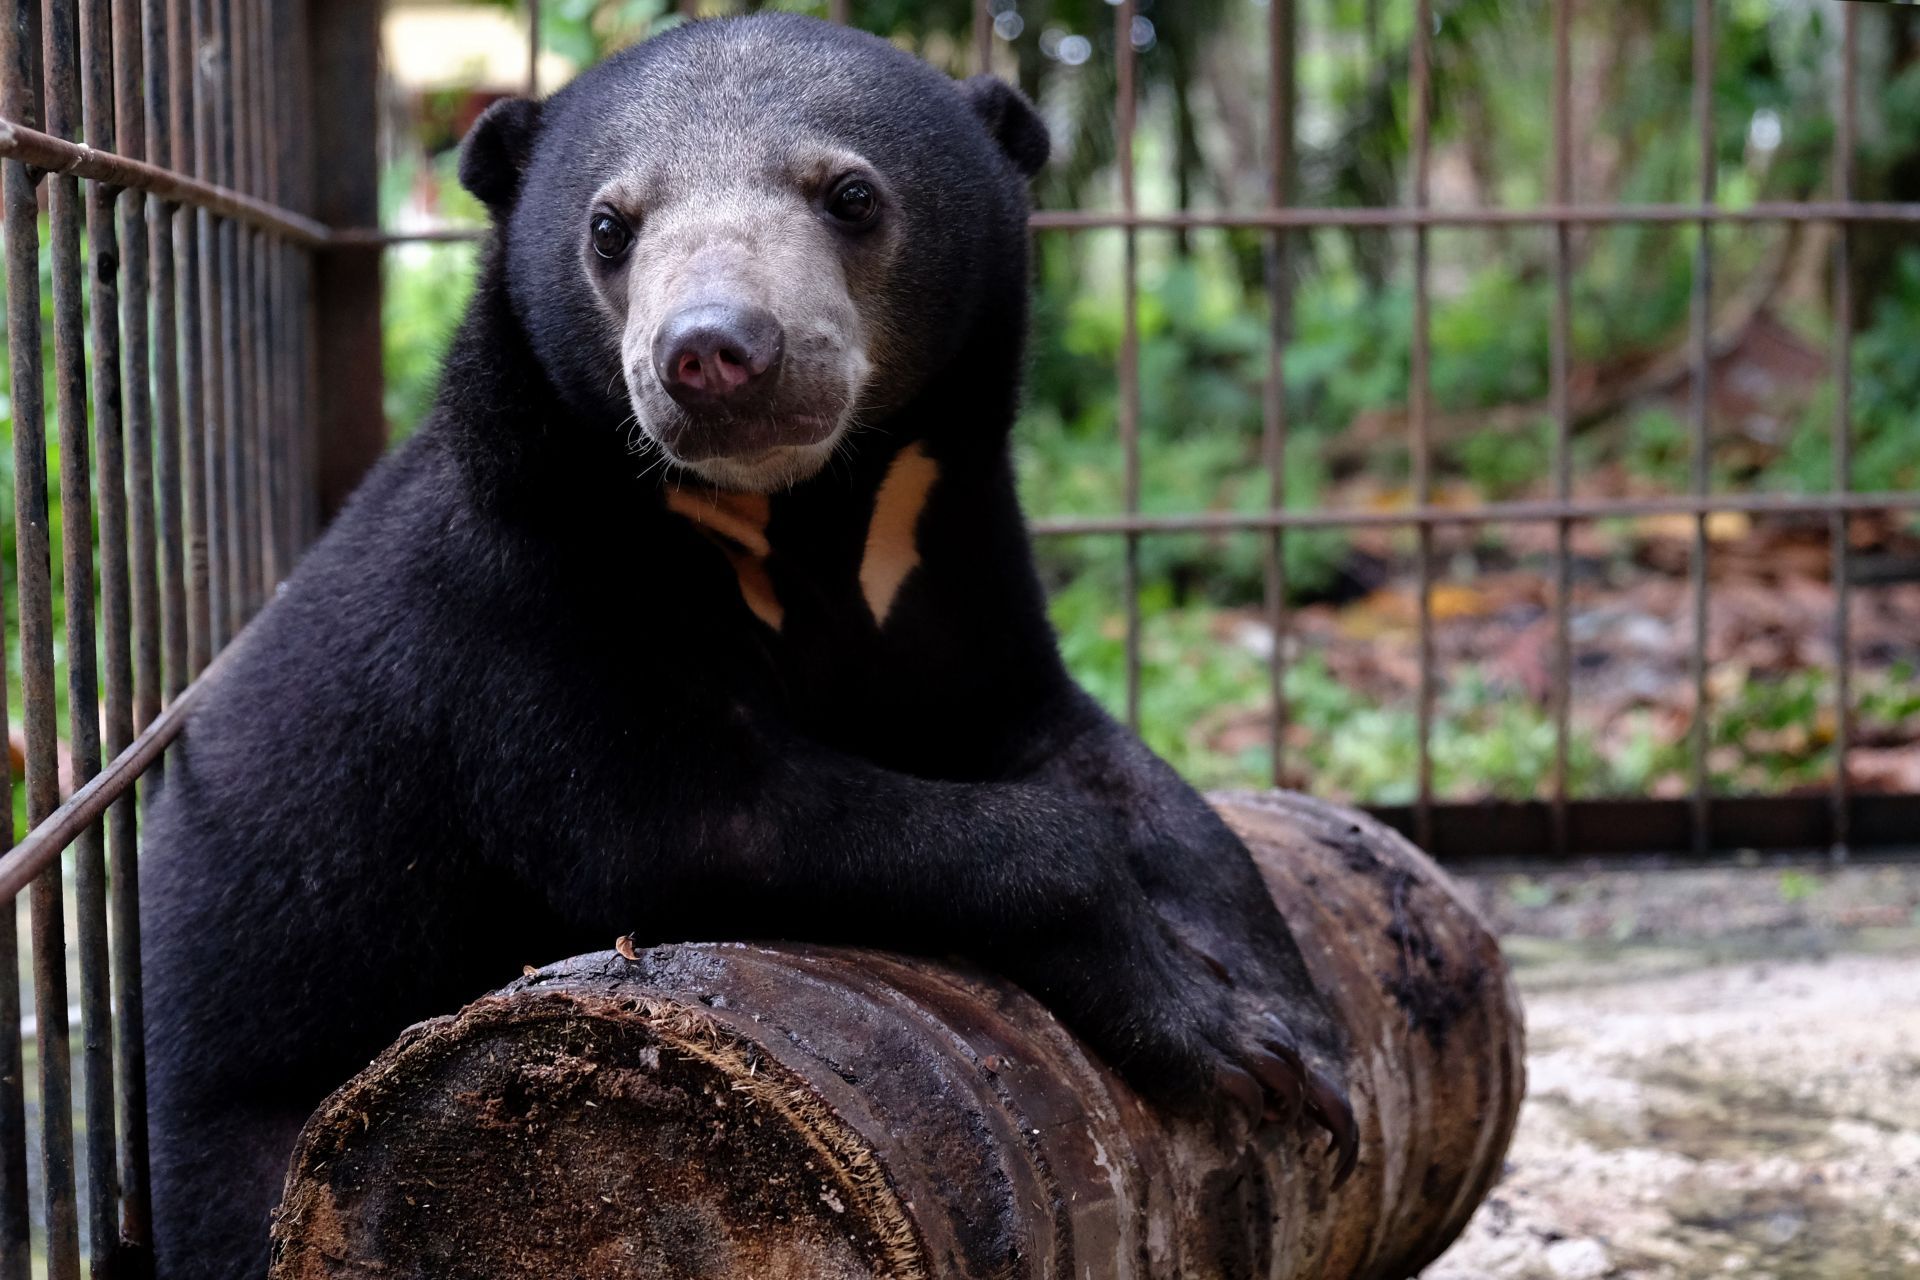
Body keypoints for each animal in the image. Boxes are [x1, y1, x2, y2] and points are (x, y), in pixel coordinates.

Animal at [142, 14, 1359, 1274]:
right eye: (610, 226)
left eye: (852, 196)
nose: (714, 352)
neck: (801, 517)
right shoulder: (516, 602)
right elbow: (668, 823)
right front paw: (1208, 1026)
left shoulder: (955, 558)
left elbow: (1094, 758)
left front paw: (1296, 1028)